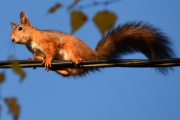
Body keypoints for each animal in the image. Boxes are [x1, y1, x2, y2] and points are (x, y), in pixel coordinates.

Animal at [9, 11, 174, 76]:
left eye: (20, 28)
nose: (12, 40)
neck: (32, 41)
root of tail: (95, 56)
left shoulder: (50, 40)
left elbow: (52, 49)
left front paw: (48, 59)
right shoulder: (35, 49)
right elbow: (38, 55)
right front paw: (36, 59)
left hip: (73, 46)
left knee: (80, 59)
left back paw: (78, 59)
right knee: (67, 73)